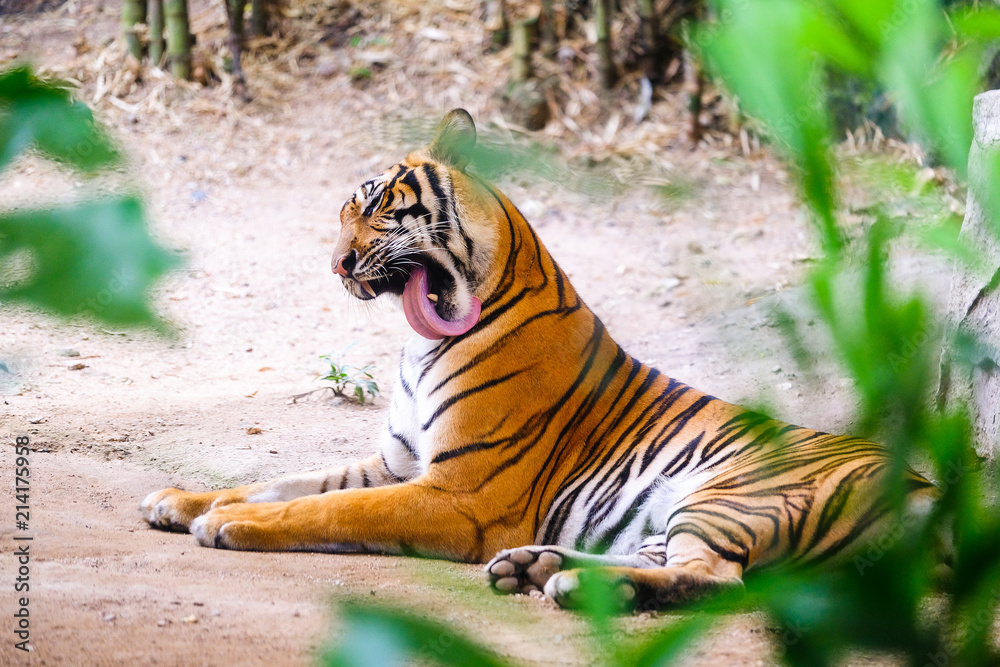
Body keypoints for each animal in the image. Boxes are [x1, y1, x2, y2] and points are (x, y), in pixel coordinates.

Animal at [141, 109, 937, 610]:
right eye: (345, 210)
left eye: (380, 208)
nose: (335, 264)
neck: (422, 341)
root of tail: (932, 485)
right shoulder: (397, 463)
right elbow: (280, 480)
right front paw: (180, 500)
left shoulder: (456, 491)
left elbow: (325, 507)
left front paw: (228, 525)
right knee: (674, 559)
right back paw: (538, 566)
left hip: (735, 494)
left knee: (717, 576)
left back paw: (579, 586)